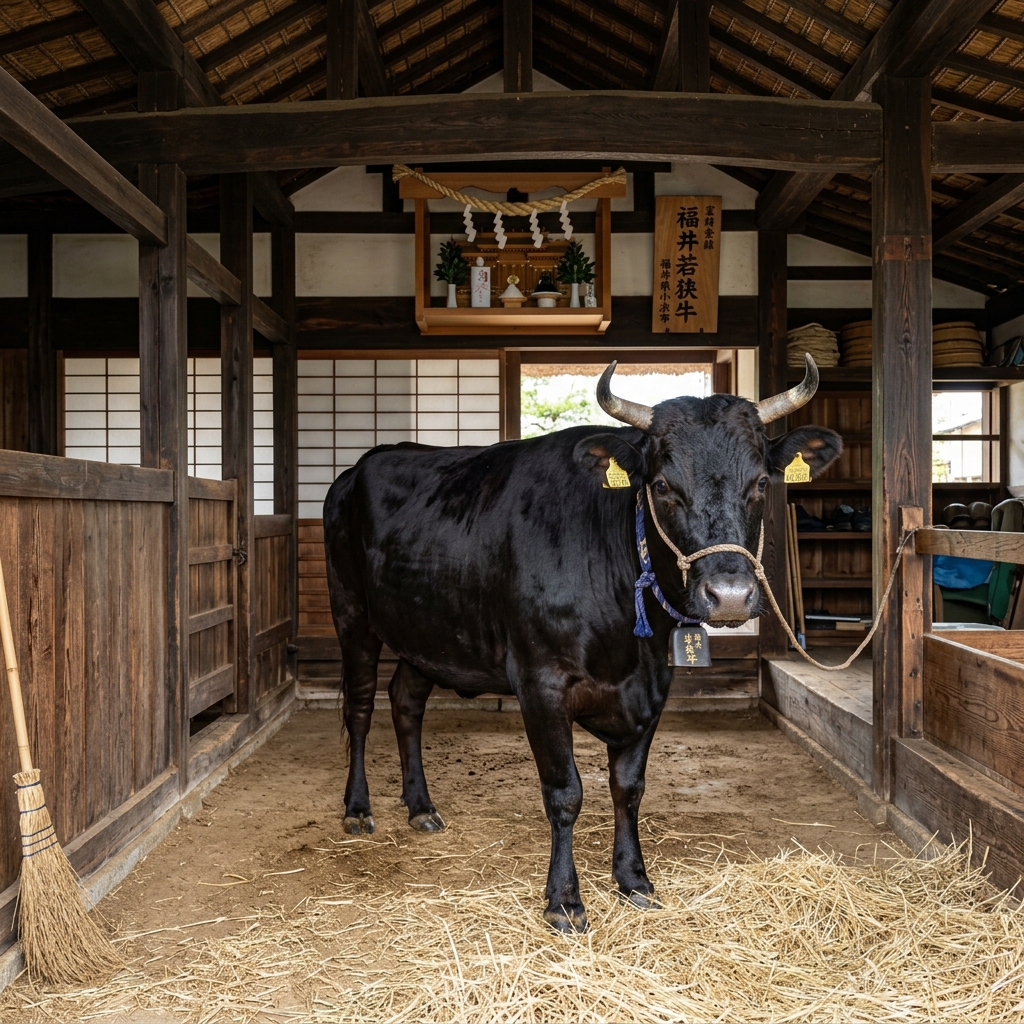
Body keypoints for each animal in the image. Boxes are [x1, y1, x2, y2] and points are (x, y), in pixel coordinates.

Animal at [323, 355, 841, 932]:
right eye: (662, 485)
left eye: (760, 484)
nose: (729, 595)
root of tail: (366, 463)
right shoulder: (540, 683)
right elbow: (565, 792)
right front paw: (564, 900)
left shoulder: (653, 686)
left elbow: (629, 788)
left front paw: (633, 879)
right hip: (352, 615)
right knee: (360, 708)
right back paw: (358, 808)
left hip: (428, 634)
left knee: (406, 702)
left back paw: (420, 807)